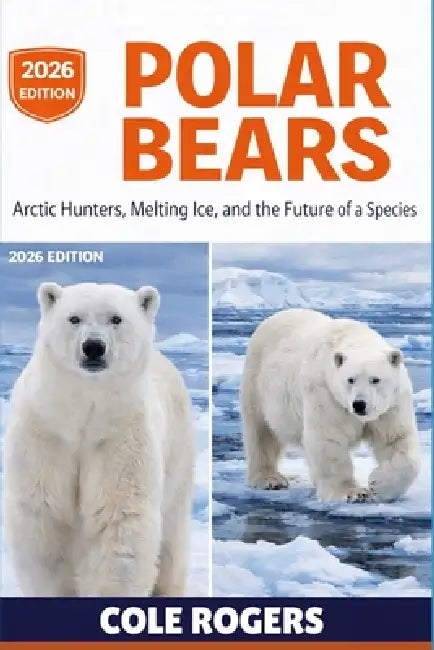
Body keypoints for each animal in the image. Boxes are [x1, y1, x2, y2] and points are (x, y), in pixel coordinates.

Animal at [3, 282, 195, 596]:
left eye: (116, 318)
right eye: (74, 318)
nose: (93, 346)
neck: (84, 413)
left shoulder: (120, 435)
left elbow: (118, 518)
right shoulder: (46, 432)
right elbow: (44, 515)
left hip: (178, 453)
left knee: (171, 539)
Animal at [241, 308, 420, 502]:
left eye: (375, 379)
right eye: (350, 379)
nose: (359, 404)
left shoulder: (391, 405)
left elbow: (396, 438)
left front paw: (380, 484)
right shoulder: (326, 394)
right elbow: (328, 439)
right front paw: (353, 492)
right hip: (257, 383)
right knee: (261, 432)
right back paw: (269, 479)